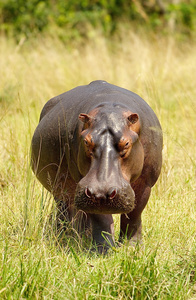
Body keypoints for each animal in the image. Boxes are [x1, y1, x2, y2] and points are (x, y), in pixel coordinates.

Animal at [30, 80, 162, 253]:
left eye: (126, 143)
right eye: (86, 141)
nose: (102, 193)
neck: (111, 107)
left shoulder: (145, 183)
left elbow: (134, 214)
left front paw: (132, 248)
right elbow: (101, 220)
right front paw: (103, 250)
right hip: (61, 189)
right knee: (64, 209)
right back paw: (65, 235)